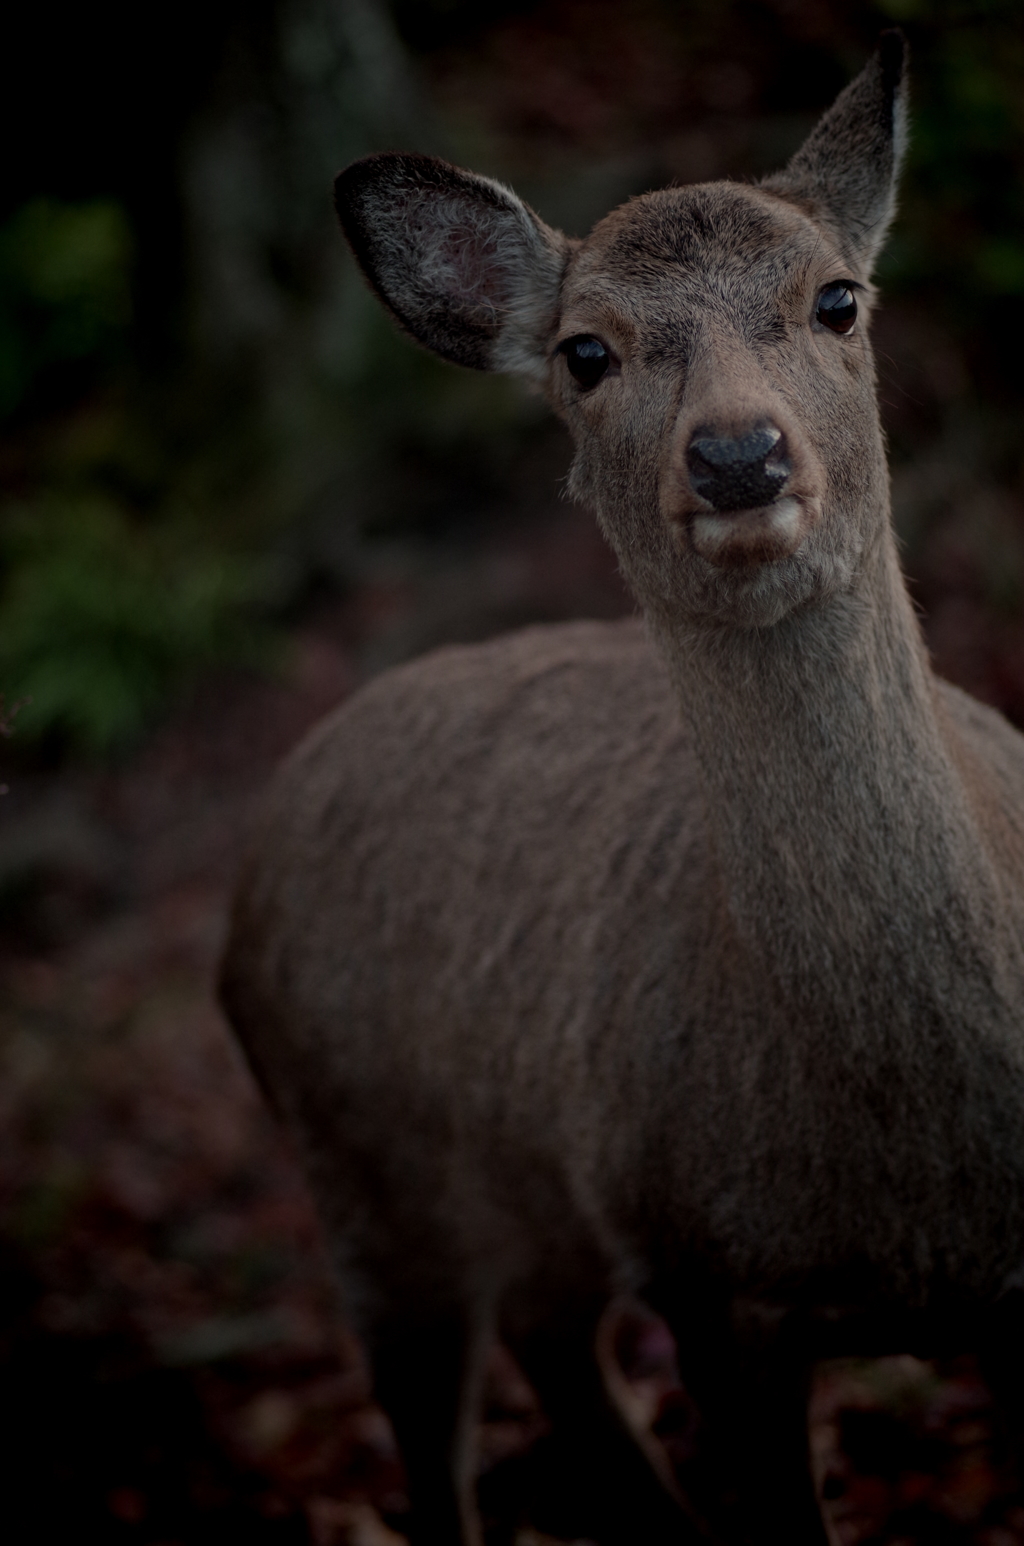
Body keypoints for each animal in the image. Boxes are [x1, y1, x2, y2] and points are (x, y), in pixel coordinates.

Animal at [221, 36, 1024, 1546]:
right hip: (360, 1182)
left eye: (836, 296)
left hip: (536, 1197)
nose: (737, 453)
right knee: (434, 1433)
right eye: (585, 351)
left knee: (558, 1348)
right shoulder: (708, 1277)